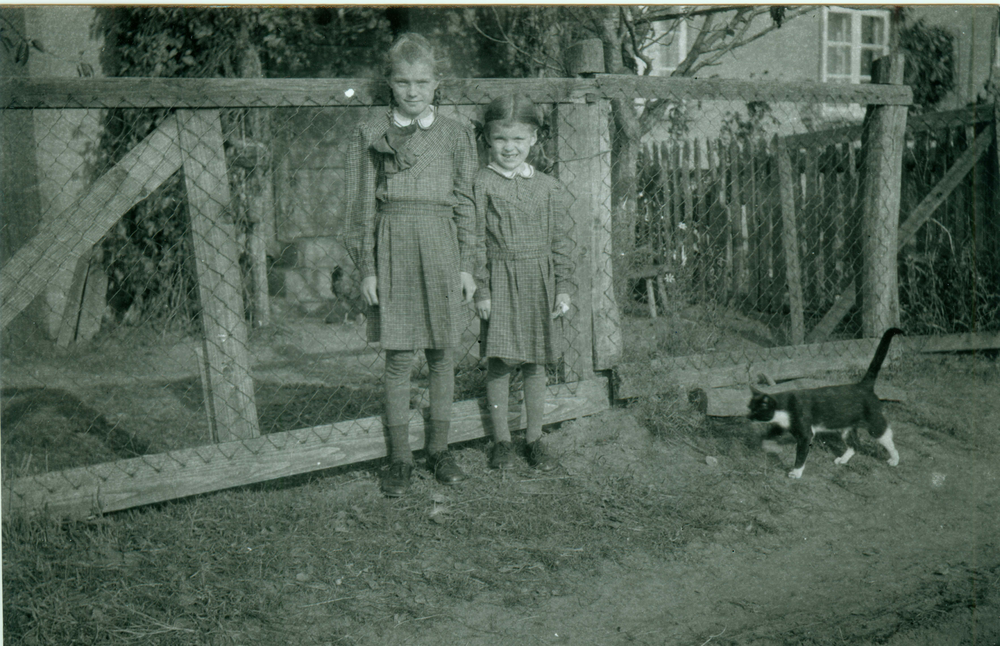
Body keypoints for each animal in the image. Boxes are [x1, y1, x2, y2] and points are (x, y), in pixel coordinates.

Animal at [748, 332, 904, 478]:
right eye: (749, 408)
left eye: (756, 411)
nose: (748, 417)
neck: (785, 407)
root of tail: (863, 386)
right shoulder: (784, 425)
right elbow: (769, 434)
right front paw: (765, 445)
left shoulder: (806, 435)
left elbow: (800, 455)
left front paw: (796, 473)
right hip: (846, 427)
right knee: (855, 445)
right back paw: (843, 460)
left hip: (874, 424)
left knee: (887, 437)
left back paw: (894, 459)